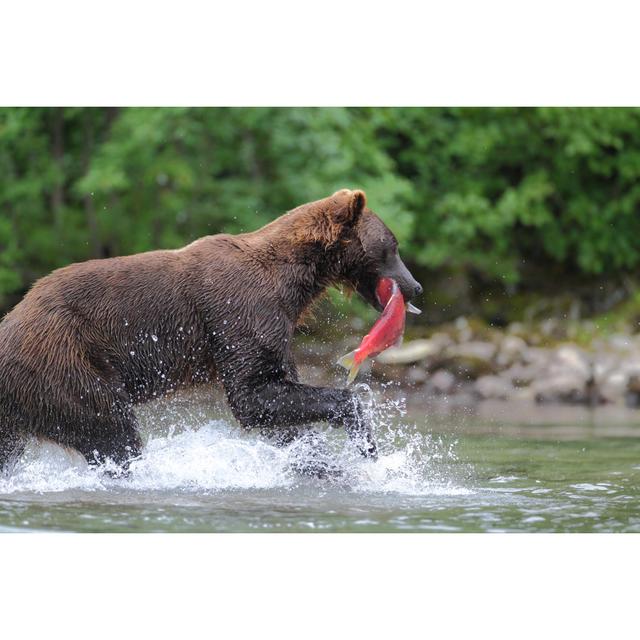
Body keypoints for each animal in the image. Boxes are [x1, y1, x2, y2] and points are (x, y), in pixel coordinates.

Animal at [0, 188, 422, 472]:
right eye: (393, 247)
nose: (415, 286)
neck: (294, 282)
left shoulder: (276, 328)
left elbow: (280, 400)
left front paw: (319, 462)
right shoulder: (242, 312)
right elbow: (252, 394)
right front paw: (364, 443)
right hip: (63, 363)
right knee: (111, 431)